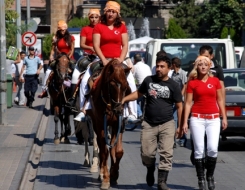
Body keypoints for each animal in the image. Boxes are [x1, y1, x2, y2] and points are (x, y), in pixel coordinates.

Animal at [87, 58, 131, 189]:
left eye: (126, 86)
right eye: (112, 84)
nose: (119, 110)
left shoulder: (119, 124)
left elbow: (118, 151)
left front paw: (114, 175)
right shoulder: (101, 124)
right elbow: (104, 151)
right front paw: (106, 179)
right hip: (96, 125)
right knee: (102, 148)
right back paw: (102, 174)